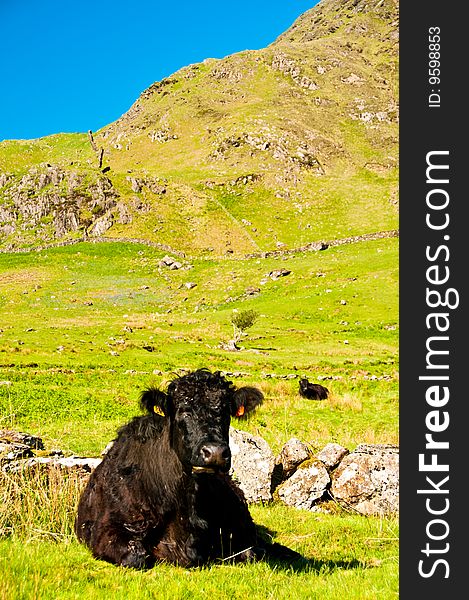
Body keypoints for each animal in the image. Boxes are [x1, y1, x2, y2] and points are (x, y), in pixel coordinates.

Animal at [73, 368, 300, 568]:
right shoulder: (105, 530)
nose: (214, 452)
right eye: (183, 412)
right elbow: (135, 557)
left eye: (226, 412)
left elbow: (250, 552)